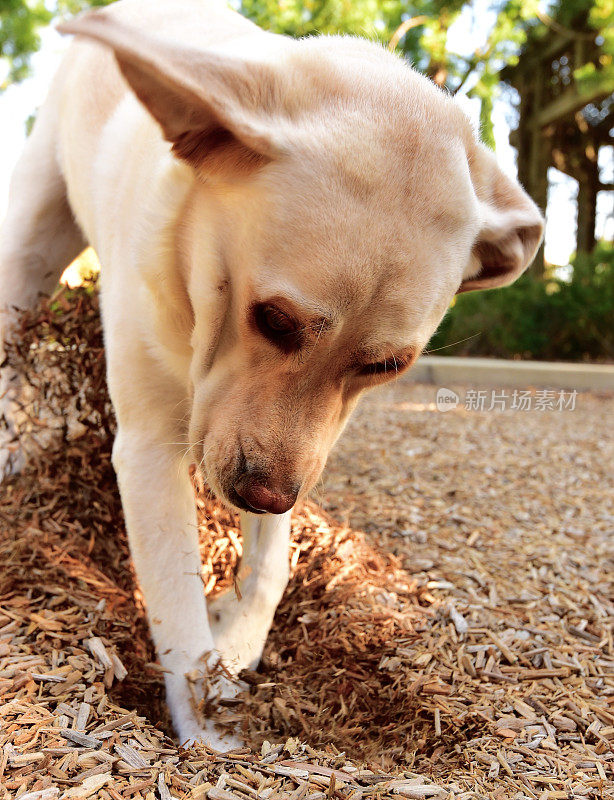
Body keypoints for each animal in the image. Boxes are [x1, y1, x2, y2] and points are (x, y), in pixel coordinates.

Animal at [0, 0, 544, 752]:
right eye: (275, 319)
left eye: (387, 366)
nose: (264, 494)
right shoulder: (149, 447)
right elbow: (174, 593)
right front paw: (204, 722)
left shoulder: (297, 456)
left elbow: (273, 567)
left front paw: (236, 640)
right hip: (27, 252)